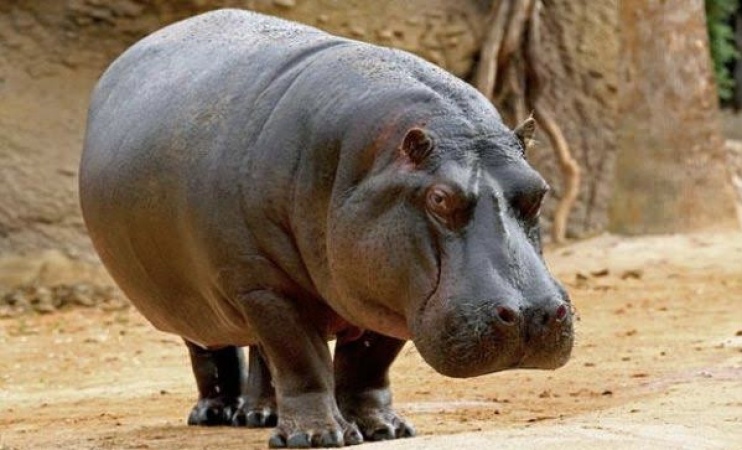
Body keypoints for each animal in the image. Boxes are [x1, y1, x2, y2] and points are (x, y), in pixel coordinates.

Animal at [79, 9, 573, 448]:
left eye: (539, 190)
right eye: (439, 198)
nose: (531, 315)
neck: (362, 164)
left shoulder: (386, 290)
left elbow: (368, 364)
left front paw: (384, 430)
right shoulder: (268, 288)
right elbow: (302, 359)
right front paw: (316, 438)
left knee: (261, 353)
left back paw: (261, 416)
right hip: (199, 293)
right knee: (211, 348)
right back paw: (214, 415)